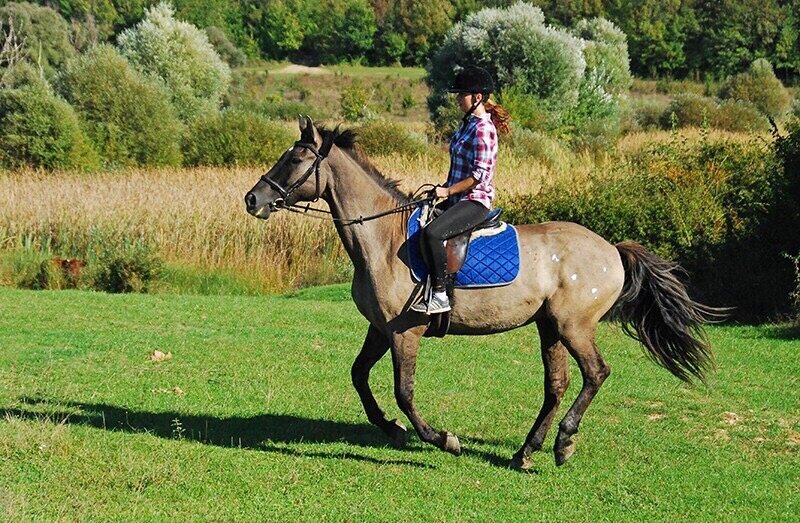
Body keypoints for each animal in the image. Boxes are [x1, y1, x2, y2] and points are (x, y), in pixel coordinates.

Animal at [244, 118, 720, 470]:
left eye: (296, 158)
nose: (252, 199)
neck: (381, 238)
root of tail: (612, 250)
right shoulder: (380, 329)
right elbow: (359, 377)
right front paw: (392, 429)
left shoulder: (404, 333)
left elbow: (404, 392)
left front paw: (443, 440)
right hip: (550, 327)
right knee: (557, 385)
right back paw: (526, 453)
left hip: (574, 325)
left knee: (596, 373)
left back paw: (563, 443)